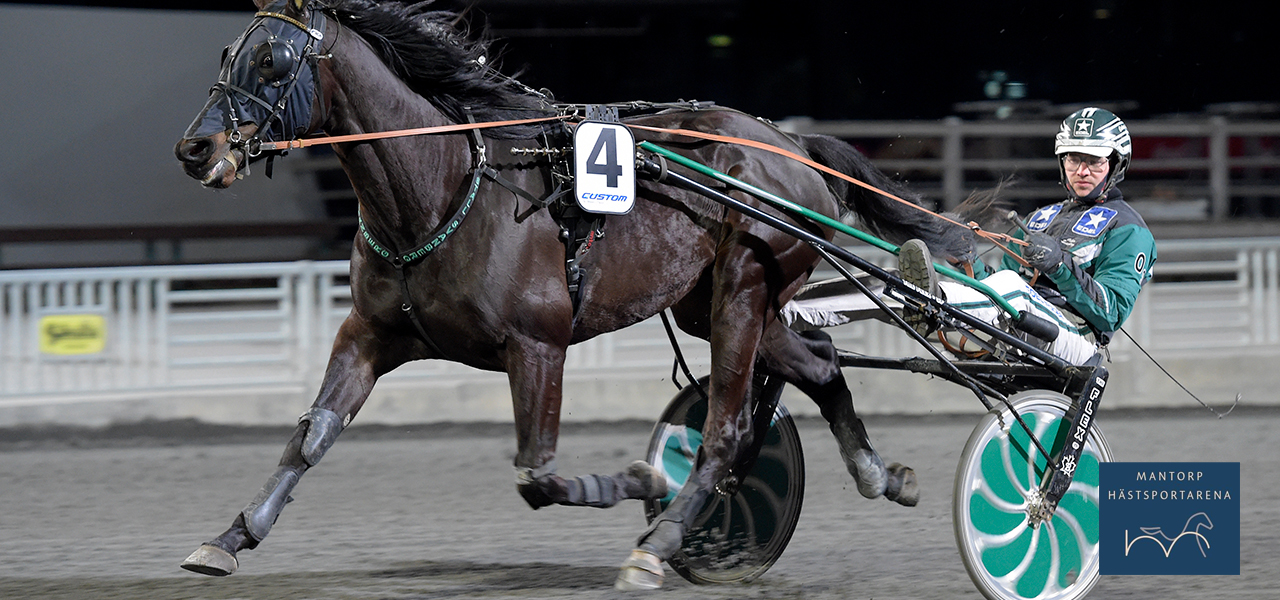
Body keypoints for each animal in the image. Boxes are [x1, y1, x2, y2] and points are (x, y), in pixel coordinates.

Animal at [170, 0, 967, 588]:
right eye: (227, 53)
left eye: (272, 60)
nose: (195, 149)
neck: (440, 188)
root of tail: (791, 145)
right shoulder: (369, 331)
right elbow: (312, 435)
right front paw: (232, 535)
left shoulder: (538, 345)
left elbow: (538, 474)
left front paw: (643, 476)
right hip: (713, 306)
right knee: (821, 363)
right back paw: (880, 475)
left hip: (745, 289)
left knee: (726, 428)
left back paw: (659, 541)